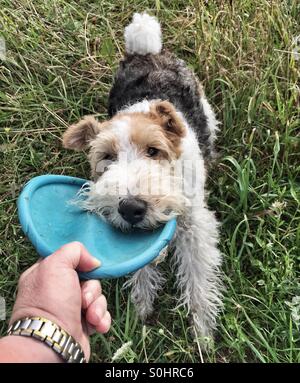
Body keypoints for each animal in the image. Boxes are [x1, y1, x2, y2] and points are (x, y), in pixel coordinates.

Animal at [62, 13, 223, 340]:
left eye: (153, 150)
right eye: (106, 157)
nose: (131, 208)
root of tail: (145, 51)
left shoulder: (194, 222)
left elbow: (198, 275)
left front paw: (202, 330)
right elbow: (140, 266)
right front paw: (142, 306)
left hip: (205, 109)